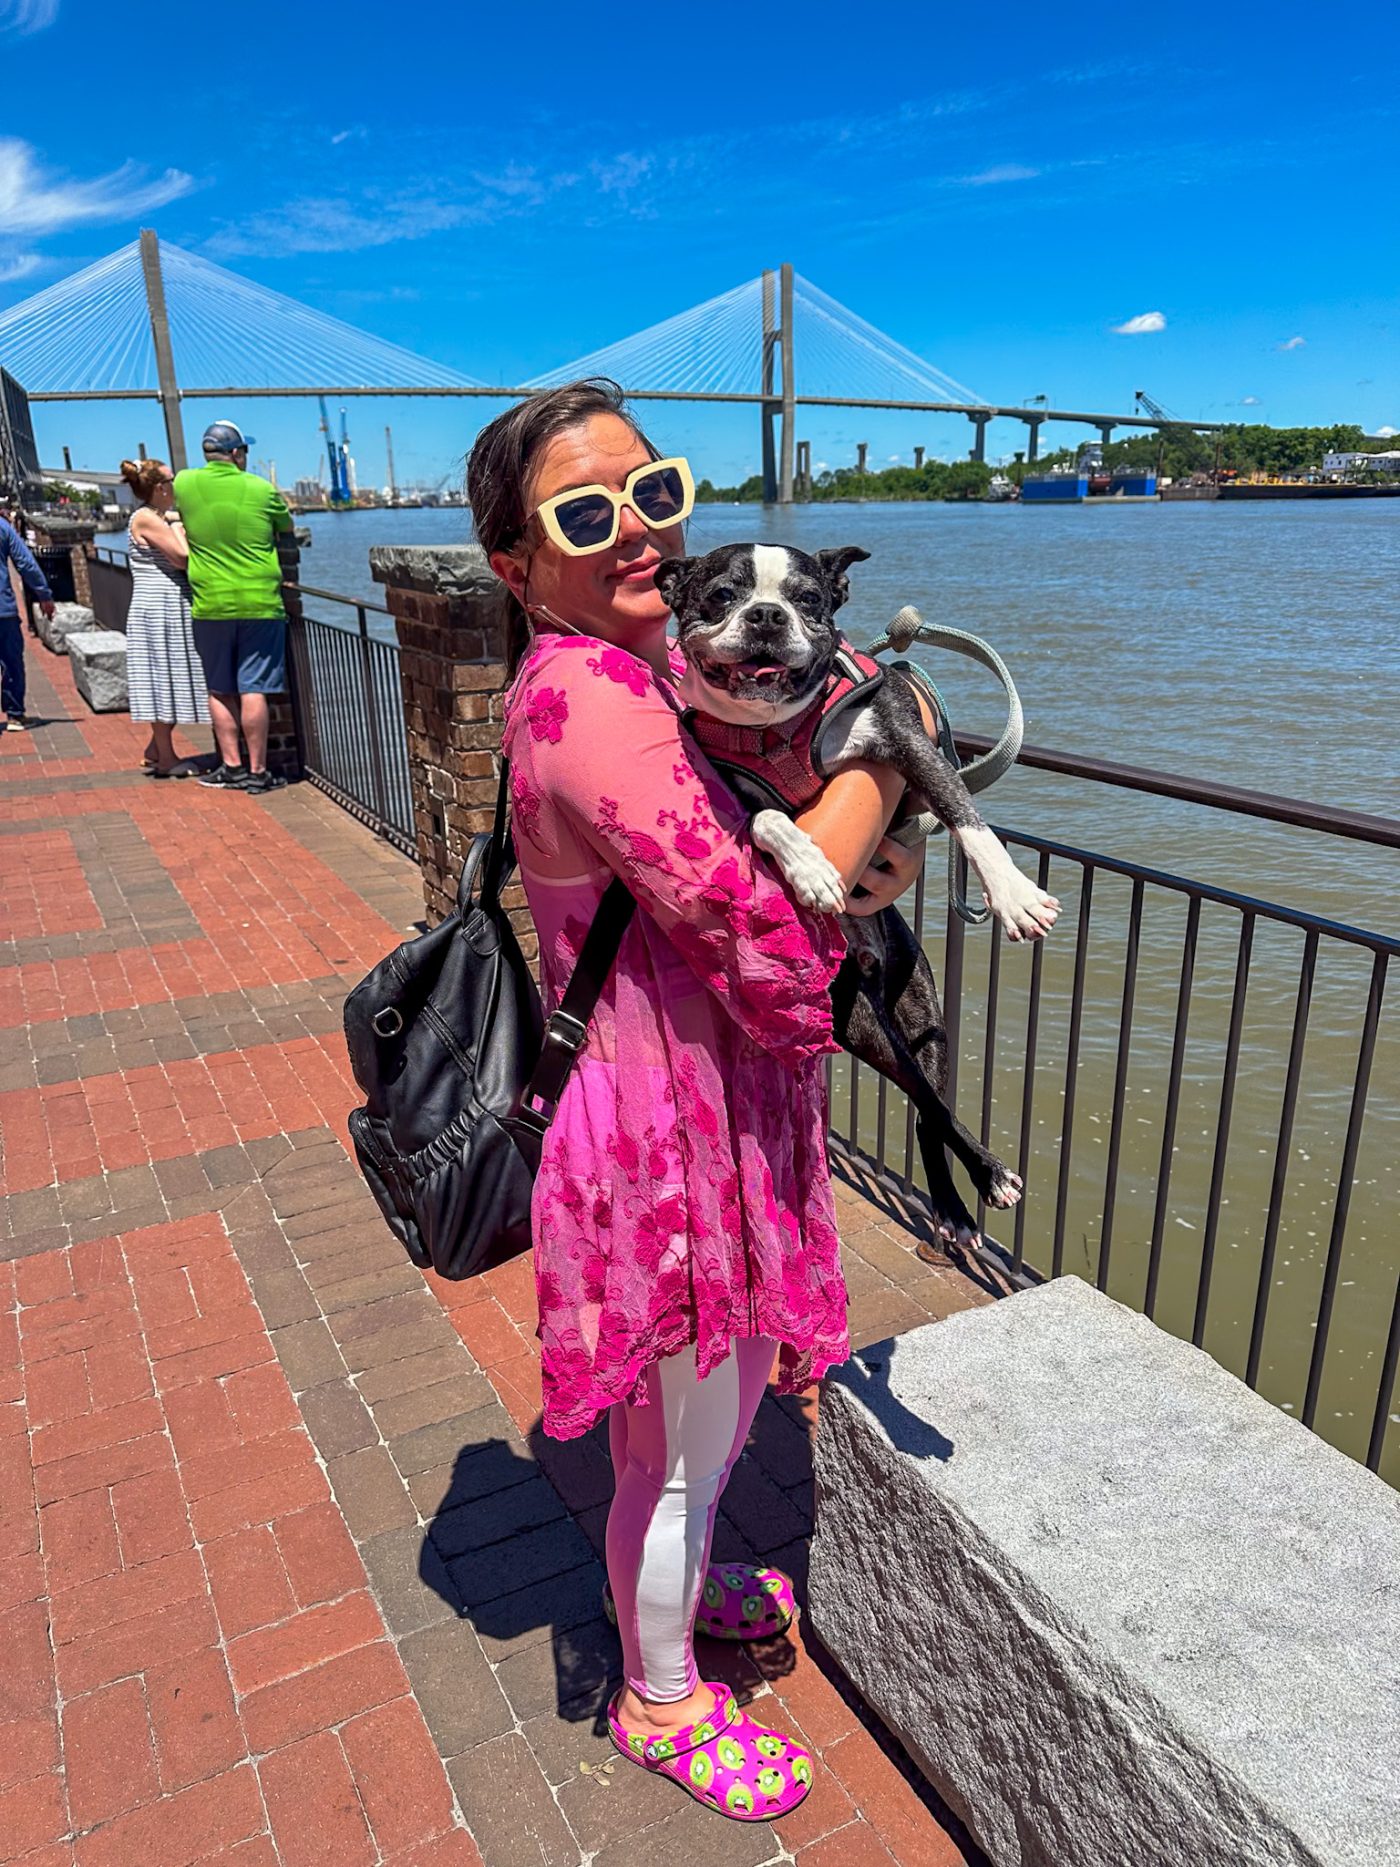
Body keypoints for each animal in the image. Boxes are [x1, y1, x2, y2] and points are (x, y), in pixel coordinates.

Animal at [655, 541, 1059, 1253]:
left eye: (809, 599)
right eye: (722, 595)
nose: (767, 615)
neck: (778, 729)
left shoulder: (906, 742)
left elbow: (964, 813)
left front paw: (1013, 894)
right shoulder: (730, 789)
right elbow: (769, 818)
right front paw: (812, 869)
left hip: (920, 1020)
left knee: (933, 1105)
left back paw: (983, 1182)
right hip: (866, 1025)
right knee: (927, 1107)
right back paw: (958, 1204)